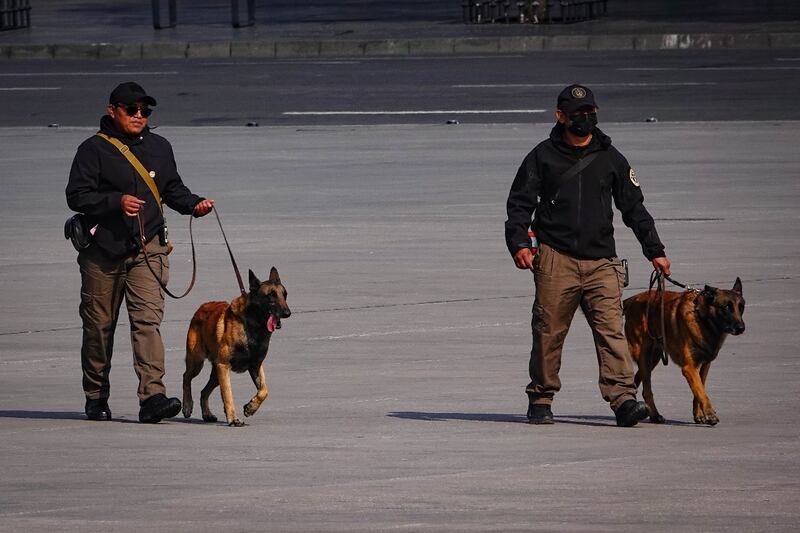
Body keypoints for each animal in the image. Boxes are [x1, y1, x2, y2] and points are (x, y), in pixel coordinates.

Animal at [182, 268, 290, 426]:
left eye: (285, 295)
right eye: (271, 295)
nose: (287, 313)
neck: (253, 325)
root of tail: (200, 308)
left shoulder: (256, 366)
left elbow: (264, 390)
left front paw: (251, 407)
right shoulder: (224, 366)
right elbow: (228, 394)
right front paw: (233, 418)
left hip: (216, 374)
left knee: (204, 391)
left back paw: (207, 413)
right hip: (198, 363)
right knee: (186, 377)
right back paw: (187, 405)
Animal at [624, 278, 744, 424]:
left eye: (741, 307)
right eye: (726, 307)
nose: (741, 328)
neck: (702, 318)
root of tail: (631, 300)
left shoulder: (704, 365)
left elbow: (699, 390)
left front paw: (699, 414)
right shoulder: (689, 368)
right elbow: (701, 392)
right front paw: (710, 414)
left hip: (652, 360)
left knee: (638, 379)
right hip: (644, 356)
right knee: (646, 389)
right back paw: (654, 414)